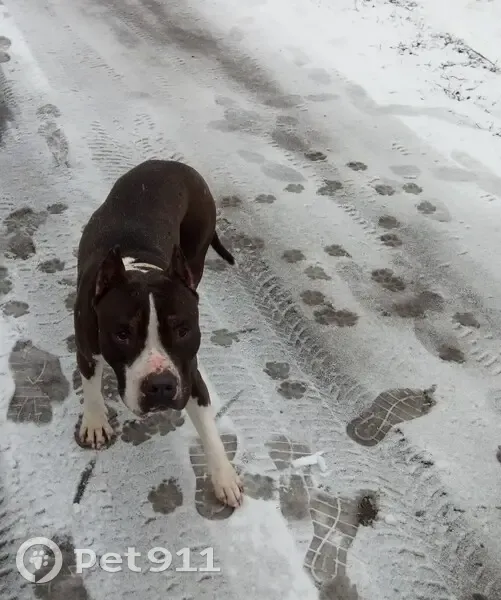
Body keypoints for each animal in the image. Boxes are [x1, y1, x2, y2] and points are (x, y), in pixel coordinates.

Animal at [73, 159, 243, 507]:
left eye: (183, 330)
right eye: (122, 334)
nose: (161, 386)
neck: (138, 269)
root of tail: (174, 164)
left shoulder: (189, 373)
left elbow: (209, 430)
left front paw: (223, 476)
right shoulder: (87, 349)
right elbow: (91, 386)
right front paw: (95, 422)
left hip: (196, 248)